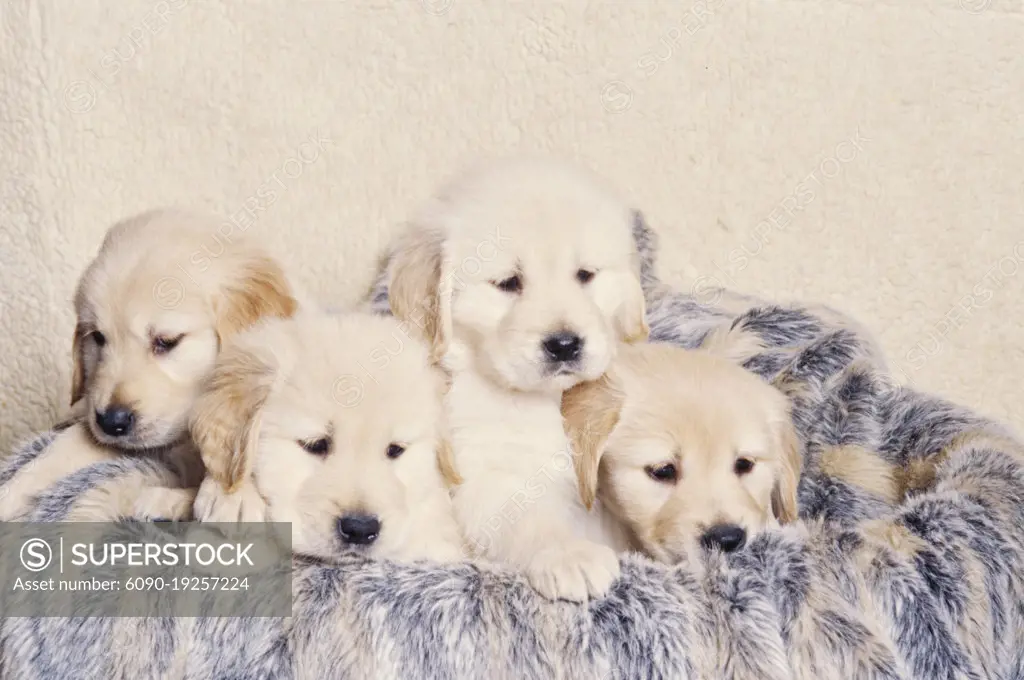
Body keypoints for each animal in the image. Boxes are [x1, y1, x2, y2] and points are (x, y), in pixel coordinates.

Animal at [0, 208, 303, 520]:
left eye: (166, 341)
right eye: (98, 337)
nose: (112, 422)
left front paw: (233, 495)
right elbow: (70, 443)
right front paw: (13, 492)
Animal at [387, 157, 643, 602]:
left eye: (585, 275)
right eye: (508, 283)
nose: (564, 344)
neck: (541, 400)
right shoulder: (486, 475)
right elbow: (529, 518)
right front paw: (569, 554)